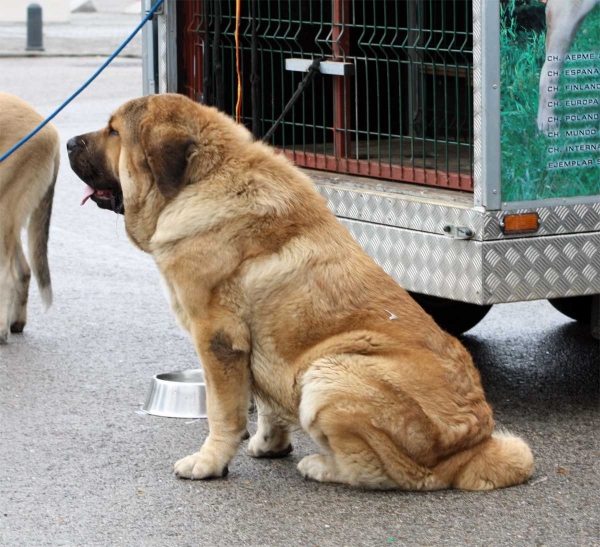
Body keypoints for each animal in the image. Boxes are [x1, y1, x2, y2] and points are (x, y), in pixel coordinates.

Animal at [67, 95, 536, 492]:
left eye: (113, 131)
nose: (70, 141)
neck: (201, 181)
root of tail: (472, 445)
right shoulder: (254, 344)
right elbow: (266, 402)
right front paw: (269, 443)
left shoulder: (217, 339)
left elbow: (222, 413)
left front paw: (208, 462)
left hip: (328, 371)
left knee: (396, 474)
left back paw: (323, 467)